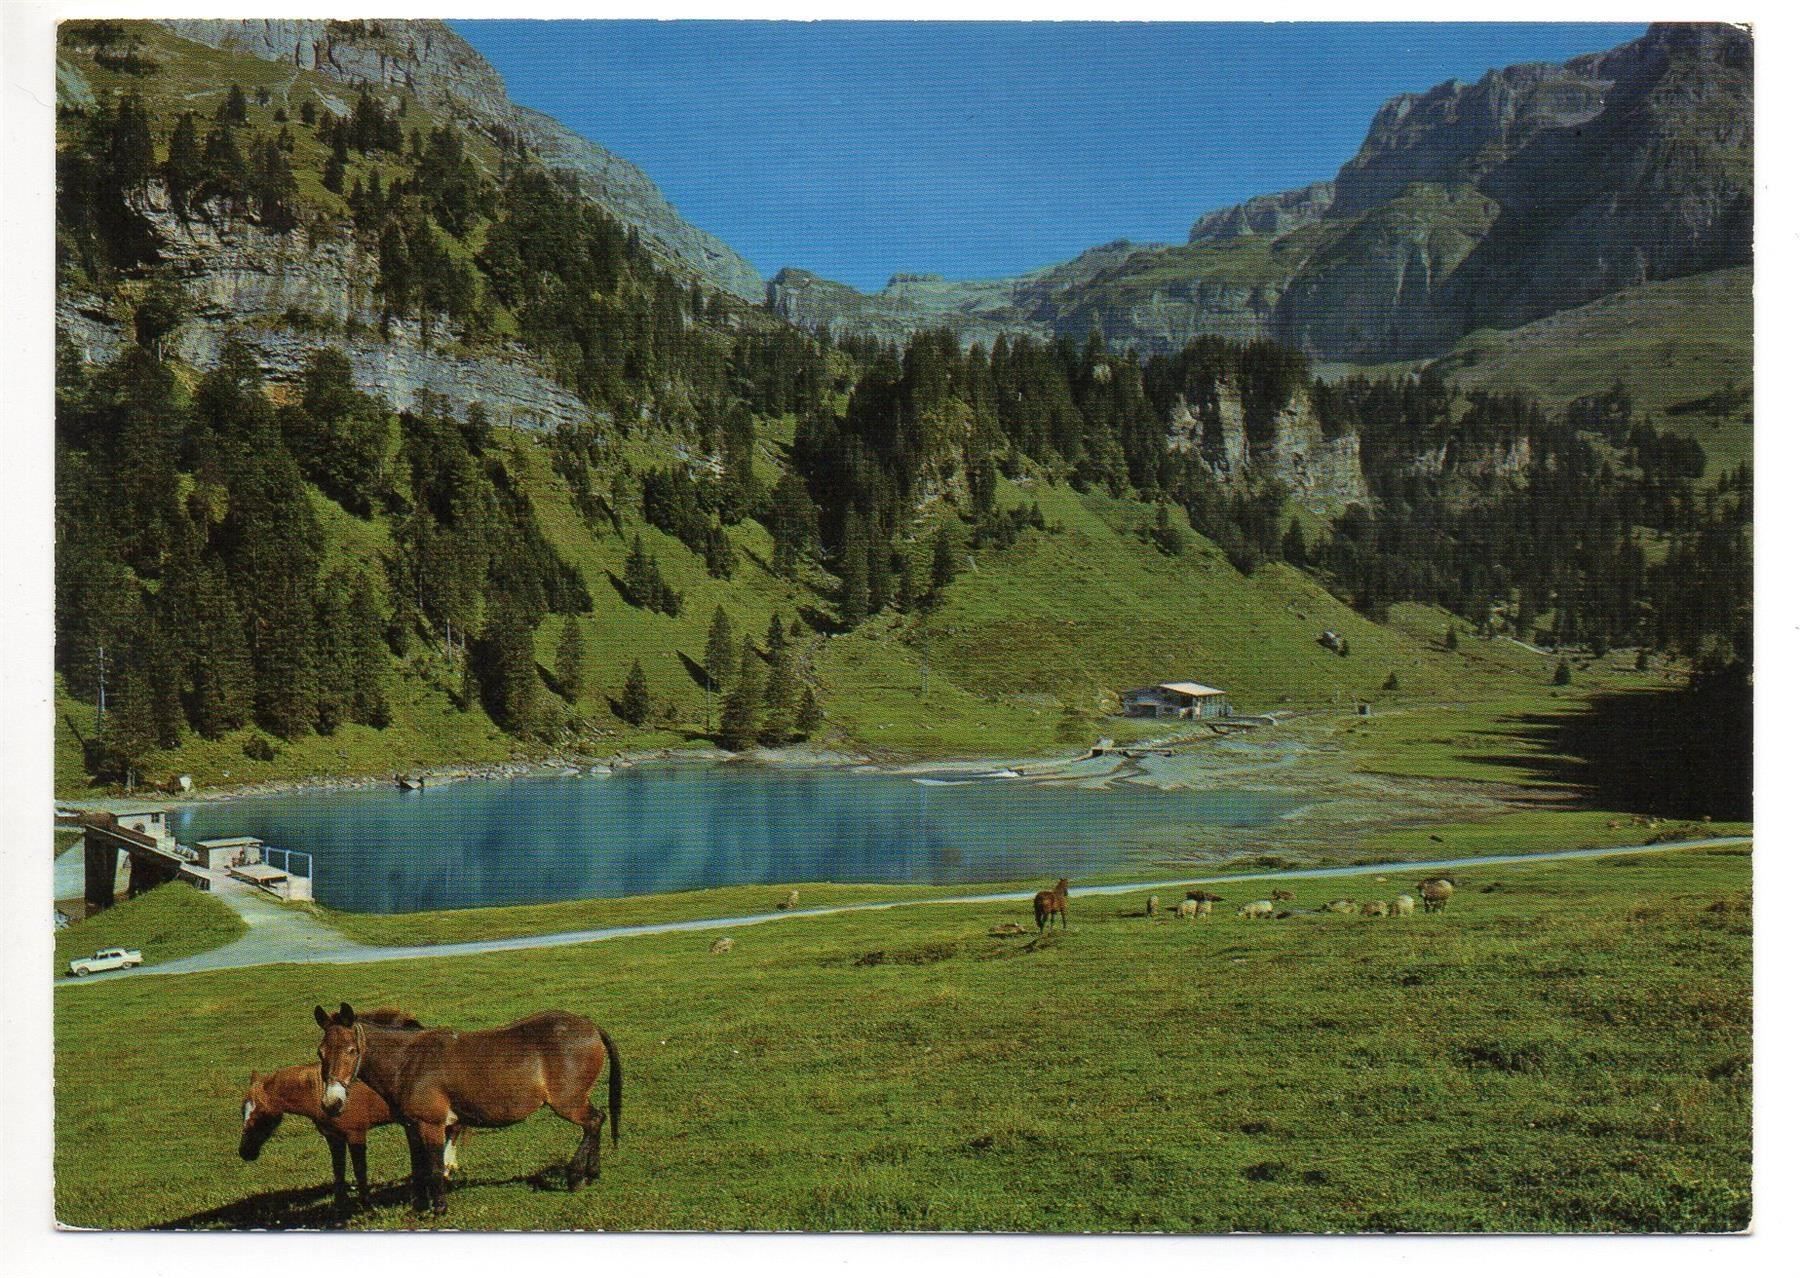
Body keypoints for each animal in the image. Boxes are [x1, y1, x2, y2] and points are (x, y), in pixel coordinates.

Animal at [314, 1003, 621, 1216]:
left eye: (352, 1050)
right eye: (320, 1052)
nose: (332, 1102)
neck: (410, 1061)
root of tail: (589, 1025)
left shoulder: (432, 1124)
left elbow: (435, 1167)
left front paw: (439, 1208)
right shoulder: (412, 1127)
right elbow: (419, 1169)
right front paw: (419, 1207)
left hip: (568, 1103)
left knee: (593, 1122)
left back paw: (577, 1177)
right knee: (598, 1120)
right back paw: (592, 1173)